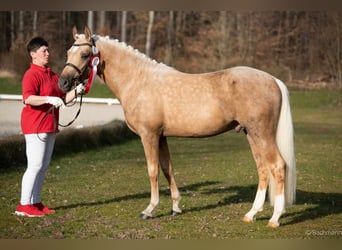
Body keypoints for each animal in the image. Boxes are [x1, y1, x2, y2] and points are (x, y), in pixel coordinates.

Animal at [57, 26, 296, 228]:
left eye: (85, 55)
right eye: (69, 51)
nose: (63, 83)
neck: (139, 80)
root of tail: (273, 80)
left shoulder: (149, 135)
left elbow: (153, 171)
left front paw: (149, 209)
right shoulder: (161, 136)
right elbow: (167, 169)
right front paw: (175, 207)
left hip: (262, 134)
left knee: (277, 166)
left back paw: (275, 218)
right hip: (252, 134)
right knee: (263, 169)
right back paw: (251, 214)